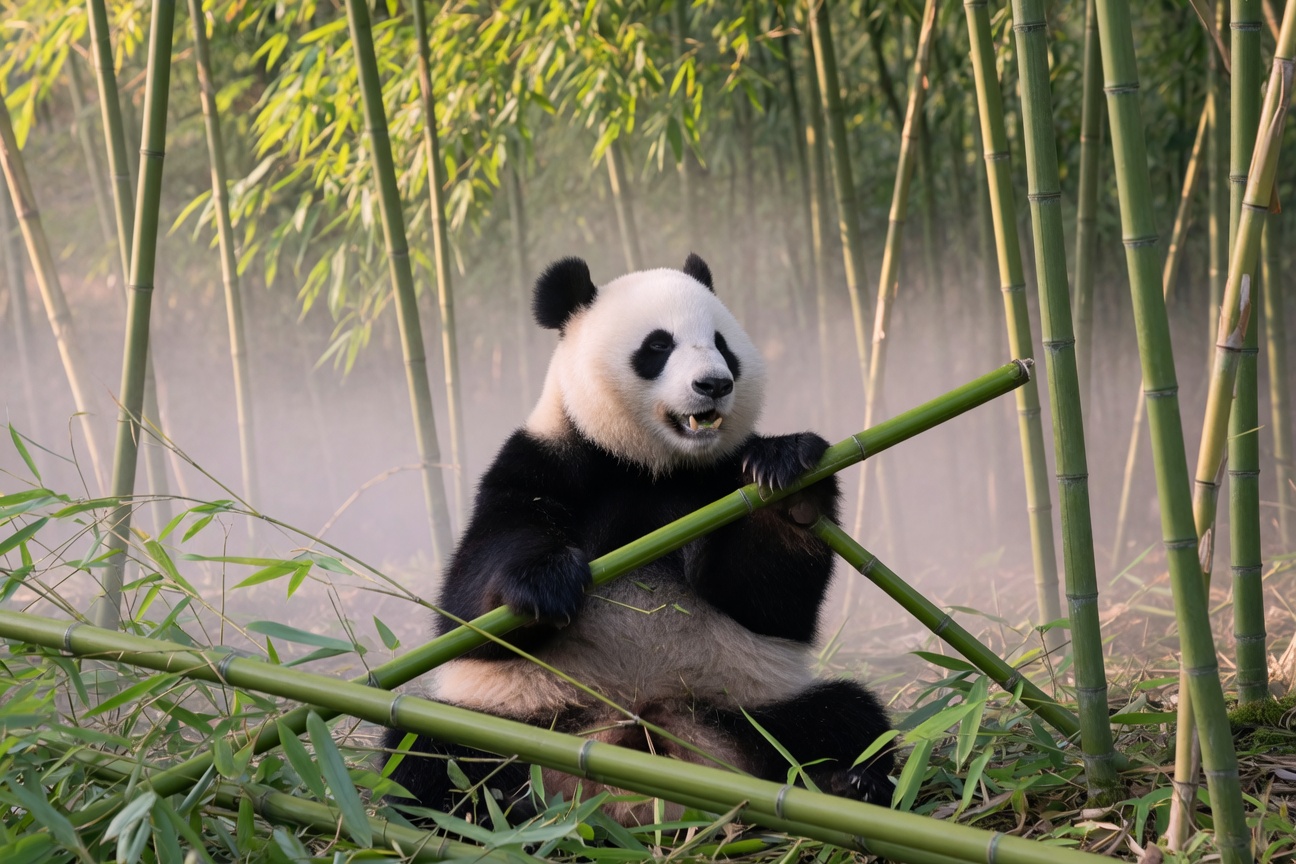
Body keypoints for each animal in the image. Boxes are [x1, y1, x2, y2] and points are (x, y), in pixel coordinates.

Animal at [383, 254, 894, 824]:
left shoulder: (715, 485)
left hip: (743, 705)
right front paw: (546, 583)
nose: (714, 384)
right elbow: (468, 607)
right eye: (658, 346)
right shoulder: (542, 464)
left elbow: (767, 602)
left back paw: (846, 784)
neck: (650, 466)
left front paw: (788, 482)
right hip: (515, 716)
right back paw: (480, 811)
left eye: (722, 344)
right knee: (429, 753)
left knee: (842, 719)